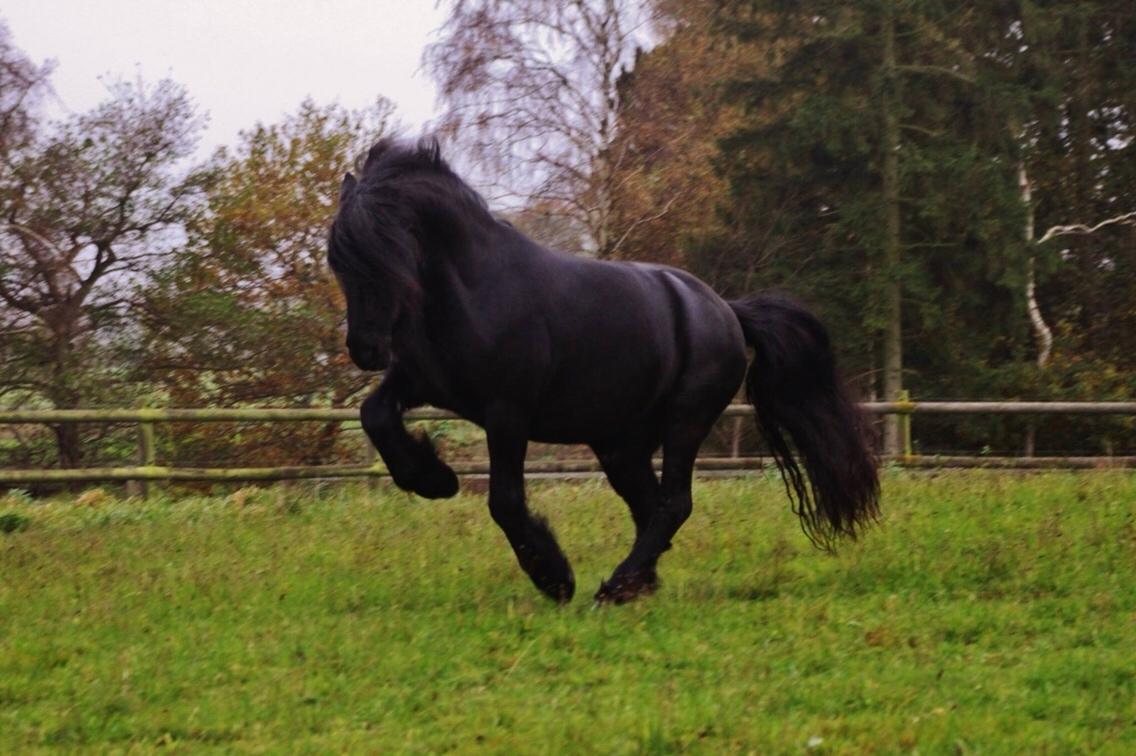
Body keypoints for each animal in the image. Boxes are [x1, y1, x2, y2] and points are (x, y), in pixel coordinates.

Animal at [327, 138, 879, 604]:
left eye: (387, 250)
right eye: (338, 259)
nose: (365, 349)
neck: (475, 289)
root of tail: (726, 309)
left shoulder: (508, 413)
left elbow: (505, 500)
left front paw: (555, 578)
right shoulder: (423, 383)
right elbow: (374, 414)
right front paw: (433, 478)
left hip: (686, 420)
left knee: (673, 503)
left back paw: (615, 586)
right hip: (621, 444)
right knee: (651, 506)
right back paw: (638, 584)